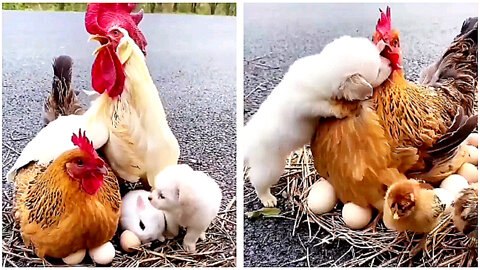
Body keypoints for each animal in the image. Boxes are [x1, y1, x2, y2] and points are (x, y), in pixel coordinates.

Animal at [246, 35, 392, 207]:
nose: (390, 64)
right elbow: (324, 106)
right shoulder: (307, 103)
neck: (323, 69)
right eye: (378, 72)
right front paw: (342, 109)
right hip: (269, 166)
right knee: (257, 180)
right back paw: (267, 198)